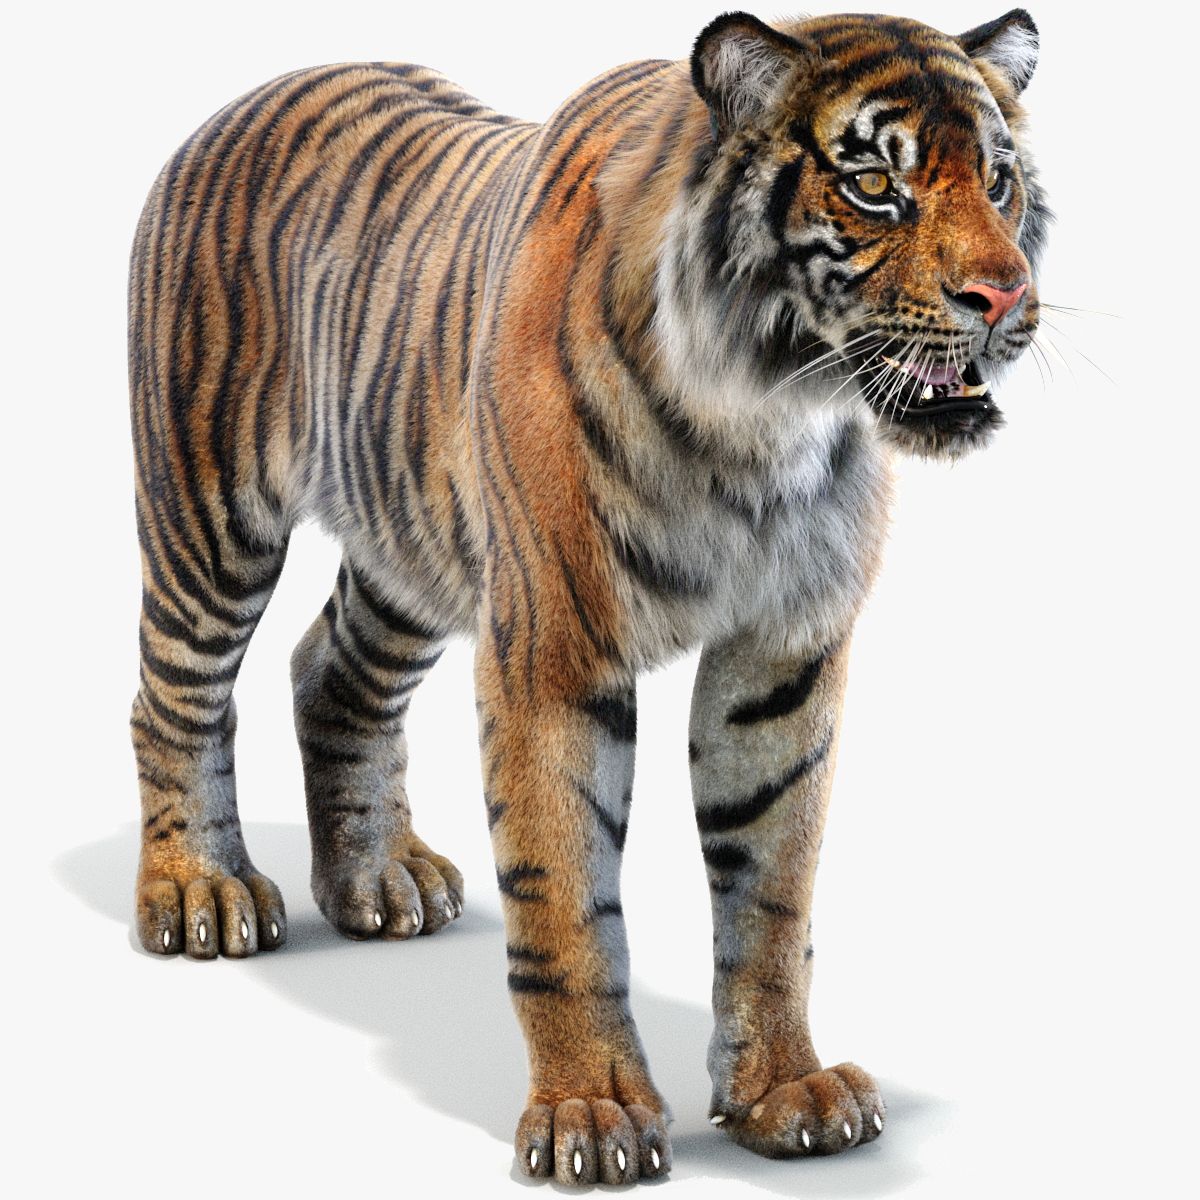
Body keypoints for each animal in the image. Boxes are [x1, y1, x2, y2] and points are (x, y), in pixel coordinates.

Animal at [127, 7, 1048, 1185]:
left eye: (1000, 180)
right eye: (876, 186)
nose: (1006, 295)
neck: (769, 417)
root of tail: (243, 97)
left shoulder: (784, 656)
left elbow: (772, 890)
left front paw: (783, 1092)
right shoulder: (551, 650)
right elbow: (563, 893)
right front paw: (591, 1114)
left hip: (413, 550)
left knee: (328, 670)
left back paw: (378, 882)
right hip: (211, 512)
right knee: (176, 694)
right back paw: (200, 889)